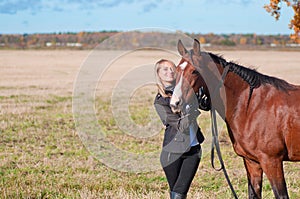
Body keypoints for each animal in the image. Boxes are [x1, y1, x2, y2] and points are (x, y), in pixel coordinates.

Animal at [171, 39, 300, 199]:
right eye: (176, 70)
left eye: (194, 71)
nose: (175, 103)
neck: (251, 106)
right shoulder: (252, 162)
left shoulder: (272, 161)